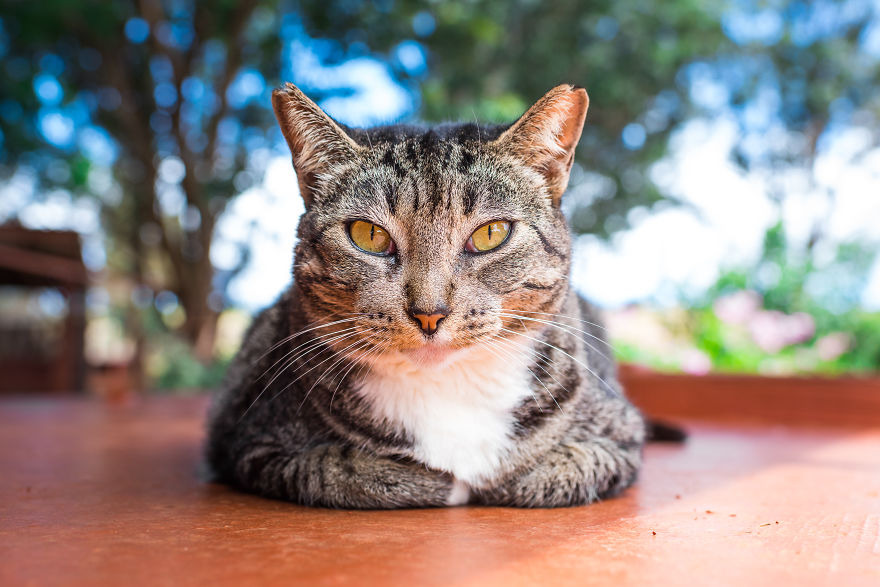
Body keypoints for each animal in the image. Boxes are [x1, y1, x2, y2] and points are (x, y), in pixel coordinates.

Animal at [206, 82, 648, 510]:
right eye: (369, 235)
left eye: (491, 234)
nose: (429, 313)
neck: (447, 388)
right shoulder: (247, 436)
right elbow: (336, 469)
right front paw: (437, 480)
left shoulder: (620, 436)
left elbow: (549, 471)